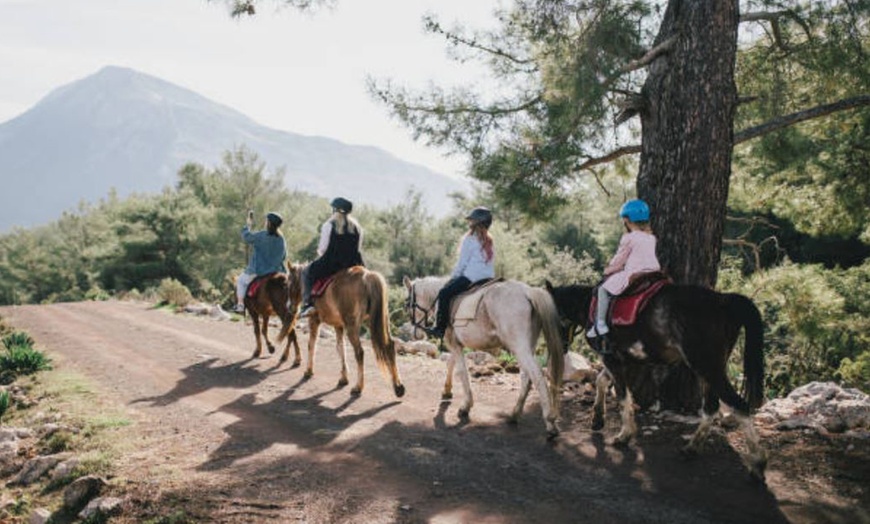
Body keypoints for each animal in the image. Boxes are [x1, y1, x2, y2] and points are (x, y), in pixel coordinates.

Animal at [280, 266, 408, 398]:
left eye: (288, 285)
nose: (289, 307)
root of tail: (367, 276)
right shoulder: (339, 325)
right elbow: (341, 348)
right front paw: (343, 378)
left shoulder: (314, 320)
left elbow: (311, 344)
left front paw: (308, 371)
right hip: (378, 320)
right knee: (389, 346)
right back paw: (398, 387)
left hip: (352, 326)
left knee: (359, 352)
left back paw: (358, 387)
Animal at [404, 274, 564, 438]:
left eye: (408, 303)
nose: (416, 334)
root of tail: (528, 291)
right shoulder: (456, 344)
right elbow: (451, 364)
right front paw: (447, 390)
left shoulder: (453, 344)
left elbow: (462, 372)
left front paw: (466, 406)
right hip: (527, 346)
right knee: (526, 377)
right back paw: (515, 414)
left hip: (519, 346)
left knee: (536, 375)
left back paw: (550, 422)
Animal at [544, 280, 768, 482]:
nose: (559, 348)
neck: (589, 305)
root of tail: (723, 299)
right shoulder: (620, 360)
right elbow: (602, 381)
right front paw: (598, 418)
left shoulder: (612, 359)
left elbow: (622, 395)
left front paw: (624, 435)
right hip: (711, 369)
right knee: (712, 408)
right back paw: (692, 448)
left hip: (707, 367)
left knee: (739, 405)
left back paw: (758, 464)